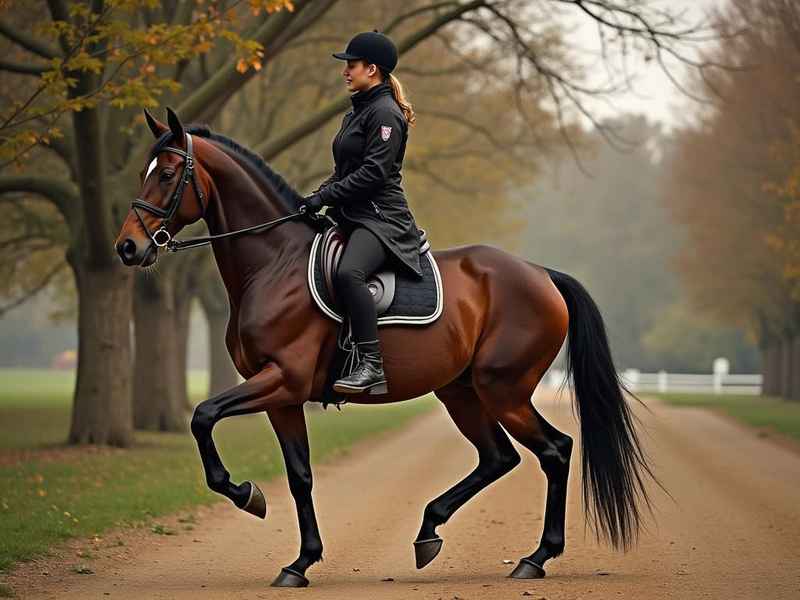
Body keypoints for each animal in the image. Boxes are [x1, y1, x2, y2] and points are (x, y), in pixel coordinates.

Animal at [114, 107, 656, 588]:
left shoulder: (281, 380)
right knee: (498, 458)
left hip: (503, 390)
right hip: (461, 392)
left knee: (555, 451)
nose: (127, 247)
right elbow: (300, 475)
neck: (274, 263)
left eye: (166, 174)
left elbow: (202, 415)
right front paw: (300, 561)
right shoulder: (283, 397)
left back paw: (536, 556)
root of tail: (542, 274)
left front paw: (245, 493)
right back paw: (430, 531)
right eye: (143, 173)